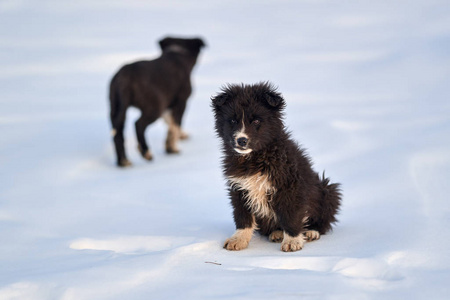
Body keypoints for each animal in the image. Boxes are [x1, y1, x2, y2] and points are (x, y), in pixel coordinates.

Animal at [211, 81, 342, 251]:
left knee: (323, 220)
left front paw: (292, 241)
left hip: (328, 191)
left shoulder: (290, 186)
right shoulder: (239, 187)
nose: (241, 140)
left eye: (256, 121)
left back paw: (311, 232)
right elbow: (242, 216)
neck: (254, 158)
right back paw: (277, 233)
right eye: (233, 121)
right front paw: (238, 239)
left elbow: (291, 216)